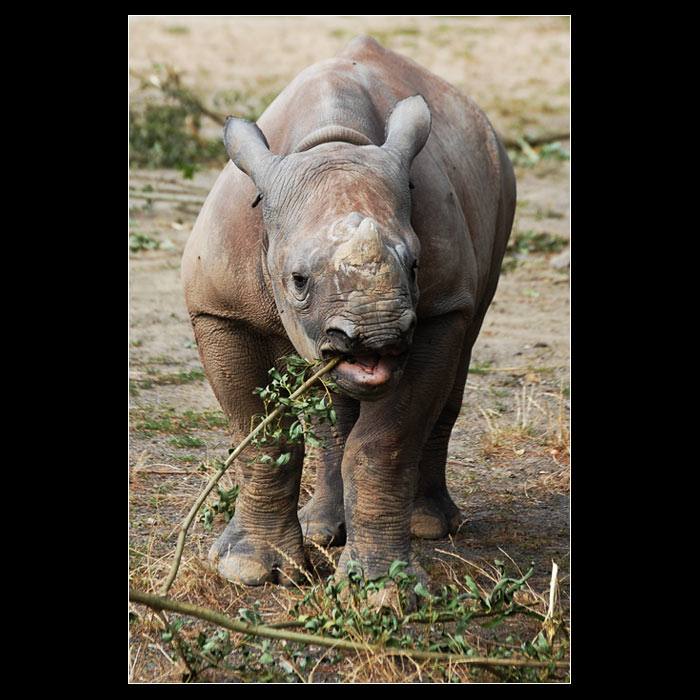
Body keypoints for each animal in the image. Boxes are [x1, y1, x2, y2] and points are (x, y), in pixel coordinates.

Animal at [181, 36, 516, 587]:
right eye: (298, 281)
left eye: (416, 265)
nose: (378, 334)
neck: (331, 142)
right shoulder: (219, 310)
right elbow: (261, 436)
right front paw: (247, 569)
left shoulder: (440, 310)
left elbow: (384, 442)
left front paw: (384, 587)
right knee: (332, 409)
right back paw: (321, 531)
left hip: (498, 183)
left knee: (465, 344)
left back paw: (429, 526)